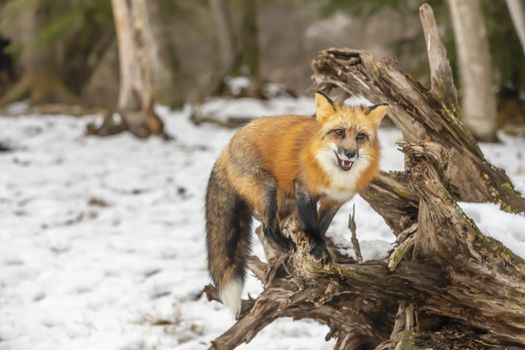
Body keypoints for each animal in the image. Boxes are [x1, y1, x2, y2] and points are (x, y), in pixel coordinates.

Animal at [207, 92, 386, 314]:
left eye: (361, 136)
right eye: (339, 132)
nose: (350, 154)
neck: (336, 177)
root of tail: (228, 144)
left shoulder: (334, 201)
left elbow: (323, 226)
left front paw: (320, 248)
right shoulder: (304, 190)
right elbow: (313, 225)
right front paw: (319, 249)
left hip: (285, 201)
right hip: (269, 191)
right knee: (266, 227)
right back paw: (283, 245)